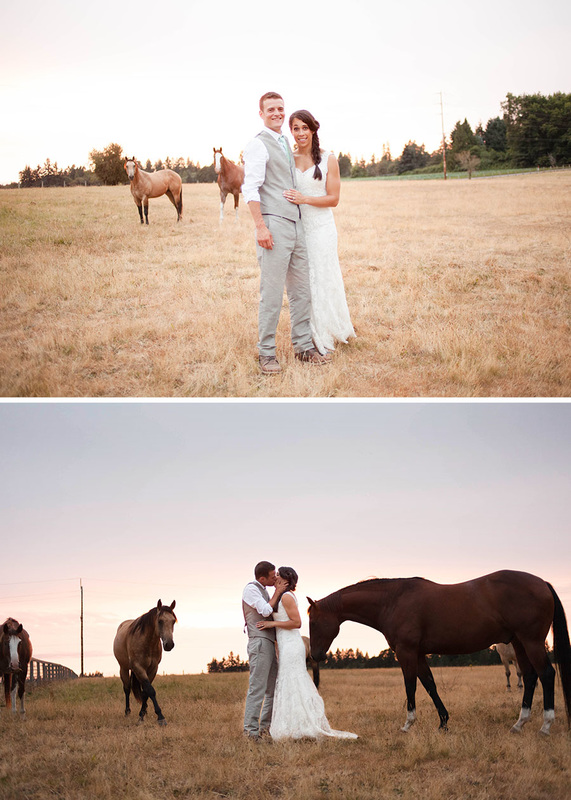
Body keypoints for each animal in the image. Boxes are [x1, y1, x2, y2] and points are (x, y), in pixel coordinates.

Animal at [310, 568, 571, 736]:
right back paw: (519, 724)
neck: (392, 600)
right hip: (519, 643)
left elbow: (410, 685)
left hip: (531, 641)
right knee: (530, 676)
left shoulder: (406, 652)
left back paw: (545, 726)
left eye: (313, 622)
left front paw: (408, 724)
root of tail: (542, 582)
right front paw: (443, 722)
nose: (315, 655)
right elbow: (429, 684)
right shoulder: (418, 654)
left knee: (546, 674)